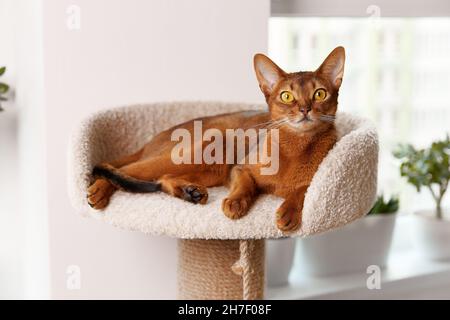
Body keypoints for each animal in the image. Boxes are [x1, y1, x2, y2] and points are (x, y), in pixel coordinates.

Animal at [89, 46, 348, 231]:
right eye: (286, 96)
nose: (305, 109)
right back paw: (98, 192)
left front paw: (288, 211)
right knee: (122, 169)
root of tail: (151, 141)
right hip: (201, 147)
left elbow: (303, 189)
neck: (297, 148)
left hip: (209, 169)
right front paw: (235, 202)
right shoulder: (240, 167)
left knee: (161, 178)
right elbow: (245, 184)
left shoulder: (315, 179)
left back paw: (190, 192)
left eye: (319, 94)